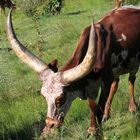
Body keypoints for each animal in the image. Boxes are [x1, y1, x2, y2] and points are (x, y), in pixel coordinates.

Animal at [6, 6, 140, 138]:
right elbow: (92, 106)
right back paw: (108, 114)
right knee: (116, 84)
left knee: (131, 80)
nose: (50, 125)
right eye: (43, 96)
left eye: (61, 99)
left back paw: (133, 107)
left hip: (133, 65)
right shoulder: (91, 86)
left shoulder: (105, 81)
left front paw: (97, 131)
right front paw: (93, 128)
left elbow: (98, 109)